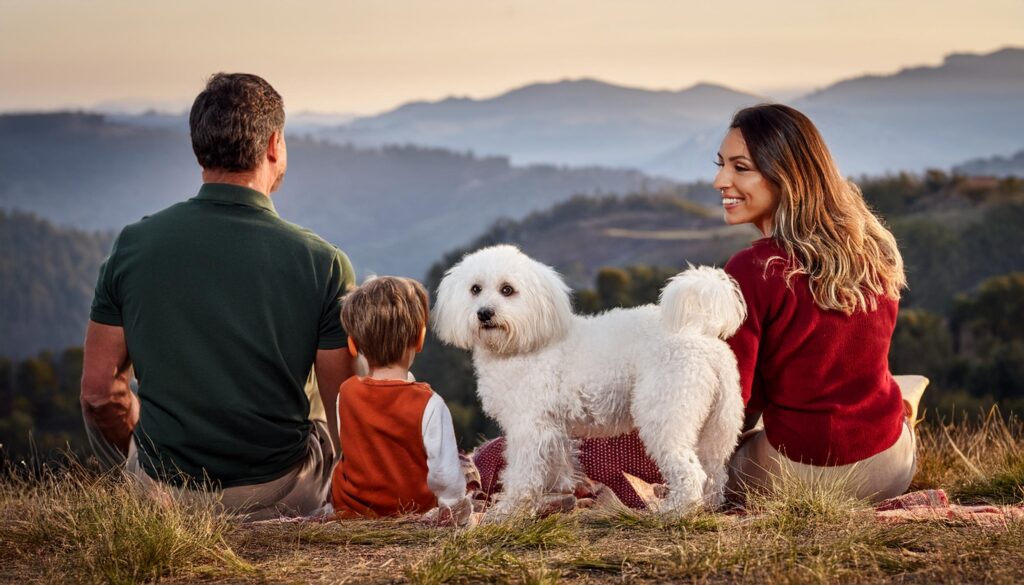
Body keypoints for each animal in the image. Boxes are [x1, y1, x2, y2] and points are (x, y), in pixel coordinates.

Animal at [432, 244, 745, 514]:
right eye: (475, 289)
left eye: (507, 290)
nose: (484, 313)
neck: (521, 345)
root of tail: (699, 331)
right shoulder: (553, 428)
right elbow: (558, 466)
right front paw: (559, 496)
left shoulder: (529, 426)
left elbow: (522, 475)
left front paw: (507, 512)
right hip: (717, 426)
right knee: (715, 473)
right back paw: (709, 506)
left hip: (666, 413)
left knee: (691, 471)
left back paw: (676, 510)